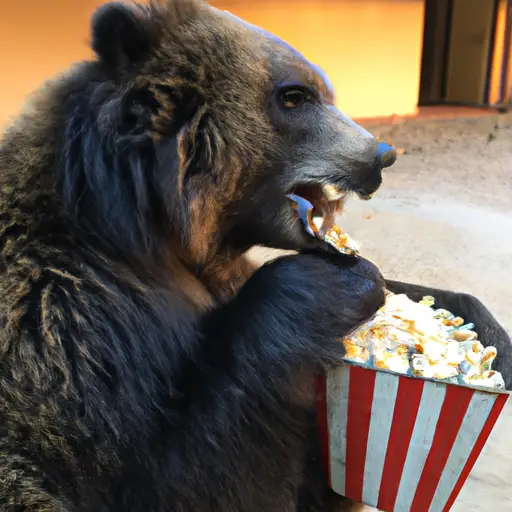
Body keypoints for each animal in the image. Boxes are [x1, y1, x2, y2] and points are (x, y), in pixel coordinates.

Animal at [0, 1, 404, 512]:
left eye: (324, 89)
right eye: (294, 95)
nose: (381, 155)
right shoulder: (65, 324)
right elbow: (185, 477)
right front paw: (339, 283)